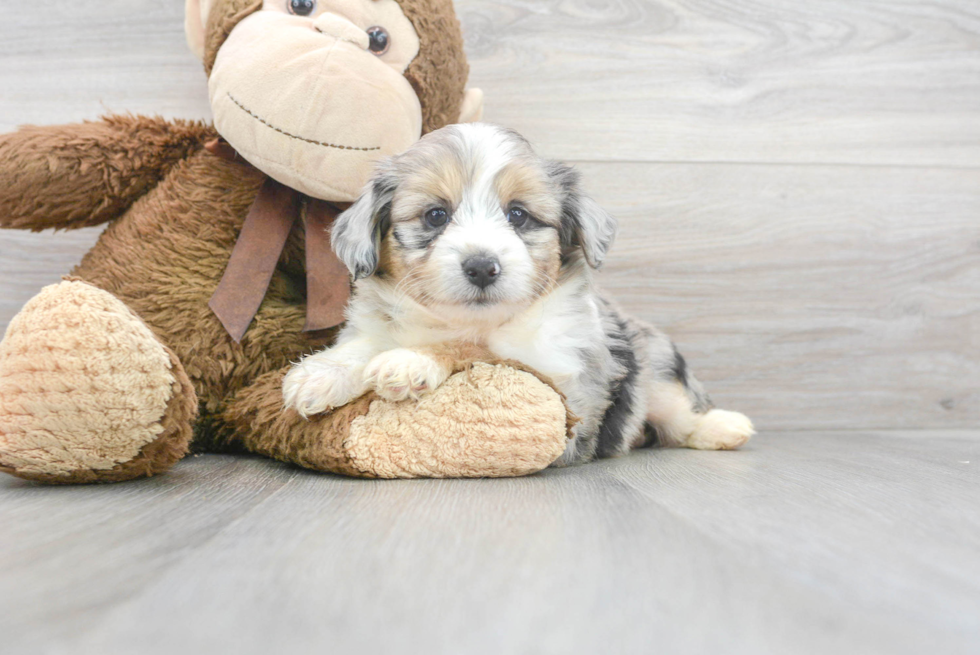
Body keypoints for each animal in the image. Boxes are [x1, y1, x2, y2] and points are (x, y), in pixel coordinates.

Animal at [280, 123, 756, 466]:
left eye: (519, 215)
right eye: (436, 215)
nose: (481, 266)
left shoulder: (560, 381)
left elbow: (477, 349)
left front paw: (410, 360)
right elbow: (367, 344)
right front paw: (321, 373)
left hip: (654, 371)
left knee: (681, 414)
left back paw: (725, 427)